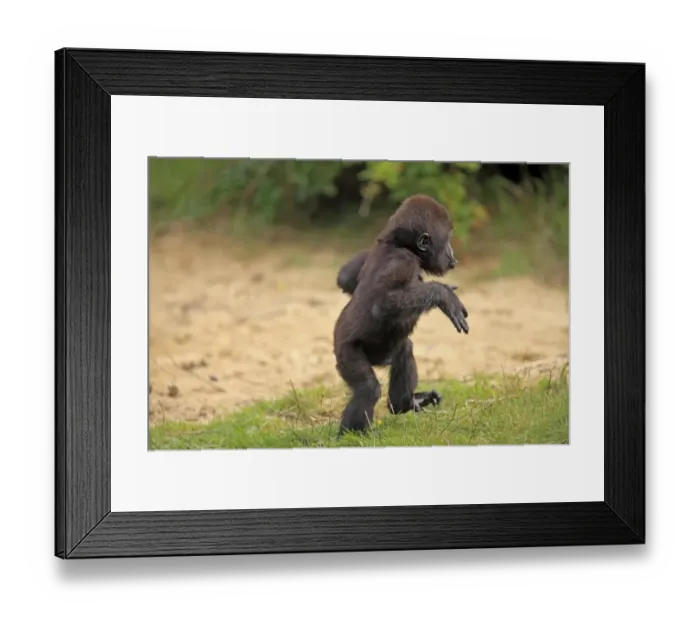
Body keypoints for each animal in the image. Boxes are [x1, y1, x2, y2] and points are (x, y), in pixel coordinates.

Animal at [332, 194, 469, 436]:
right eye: (447, 240)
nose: (453, 254)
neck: (399, 245)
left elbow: (346, 278)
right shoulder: (402, 262)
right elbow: (386, 302)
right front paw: (444, 295)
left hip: (383, 353)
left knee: (404, 349)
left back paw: (403, 403)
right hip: (345, 352)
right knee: (368, 389)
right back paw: (353, 434)